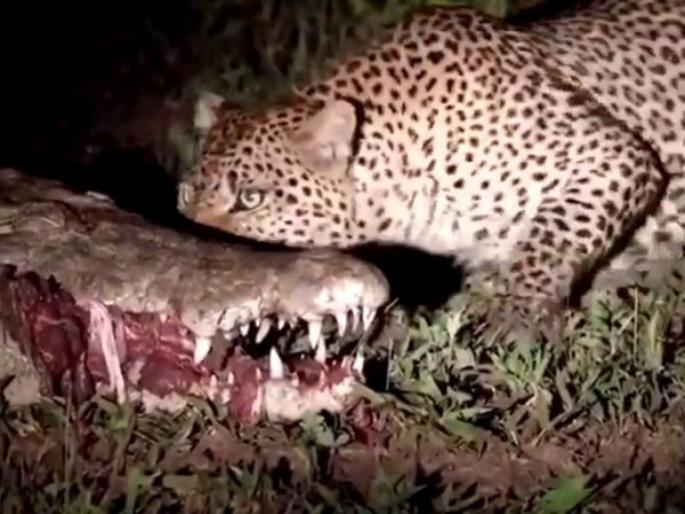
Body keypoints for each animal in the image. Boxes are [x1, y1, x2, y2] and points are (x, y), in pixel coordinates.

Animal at [177, 0, 685, 338]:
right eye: (184, 196)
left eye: (251, 198)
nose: (192, 245)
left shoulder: (611, 156)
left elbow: (552, 236)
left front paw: (516, 314)